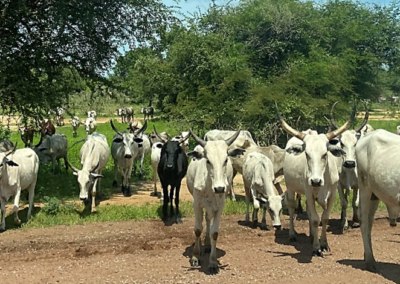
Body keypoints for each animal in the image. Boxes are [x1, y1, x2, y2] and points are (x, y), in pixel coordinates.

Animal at [278, 103, 354, 256]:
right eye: (306, 154)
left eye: (325, 154)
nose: (315, 181)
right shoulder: (308, 192)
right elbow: (314, 219)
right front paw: (316, 248)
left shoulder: (332, 194)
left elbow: (324, 218)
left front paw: (323, 243)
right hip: (290, 188)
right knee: (291, 207)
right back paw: (292, 234)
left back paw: (312, 236)